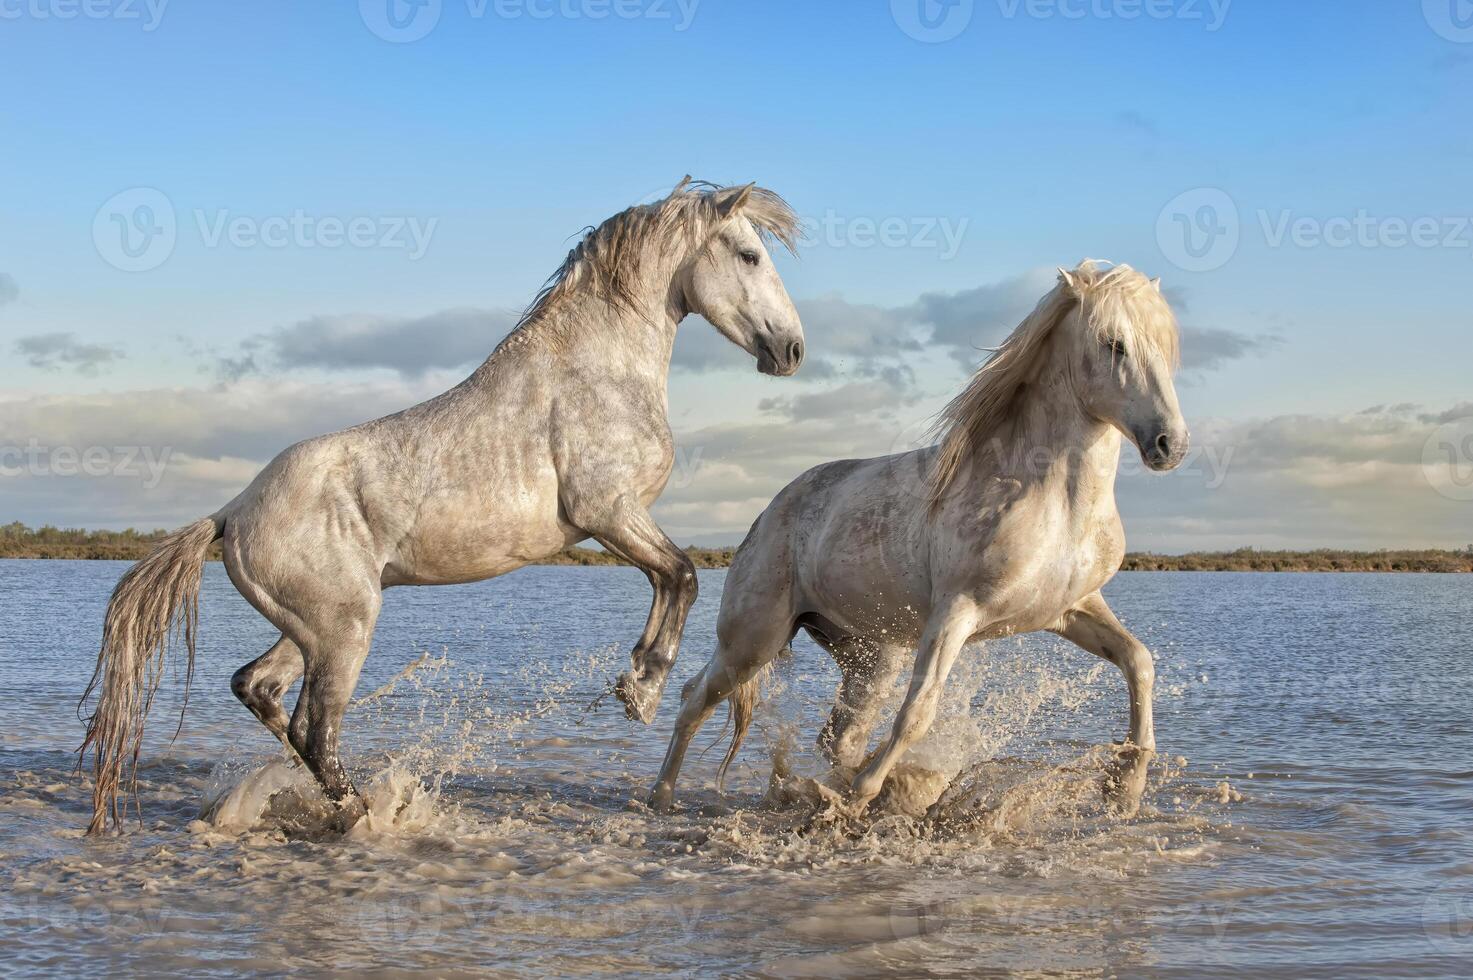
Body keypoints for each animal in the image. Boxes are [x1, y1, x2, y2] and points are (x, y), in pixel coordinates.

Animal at [80, 177, 807, 831]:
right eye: (749, 255)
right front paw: (643, 688)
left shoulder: (614, 521)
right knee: (314, 728)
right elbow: (681, 574)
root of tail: (233, 511)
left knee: (259, 690)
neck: (593, 371)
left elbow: (670, 578)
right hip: (345, 629)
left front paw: (634, 683)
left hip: (314, 627)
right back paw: (367, 815)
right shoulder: (607, 512)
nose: (791, 348)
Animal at [651, 262, 1190, 819]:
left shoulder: (1072, 610)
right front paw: (862, 795)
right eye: (1114, 343)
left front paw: (1126, 788)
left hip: (869, 658)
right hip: (753, 640)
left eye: (1167, 346)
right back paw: (662, 795)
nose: (1169, 444)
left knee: (837, 737)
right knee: (695, 697)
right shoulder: (956, 613)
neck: (1053, 501)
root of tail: (768, 513)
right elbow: (918, 712)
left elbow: (1139, 662)